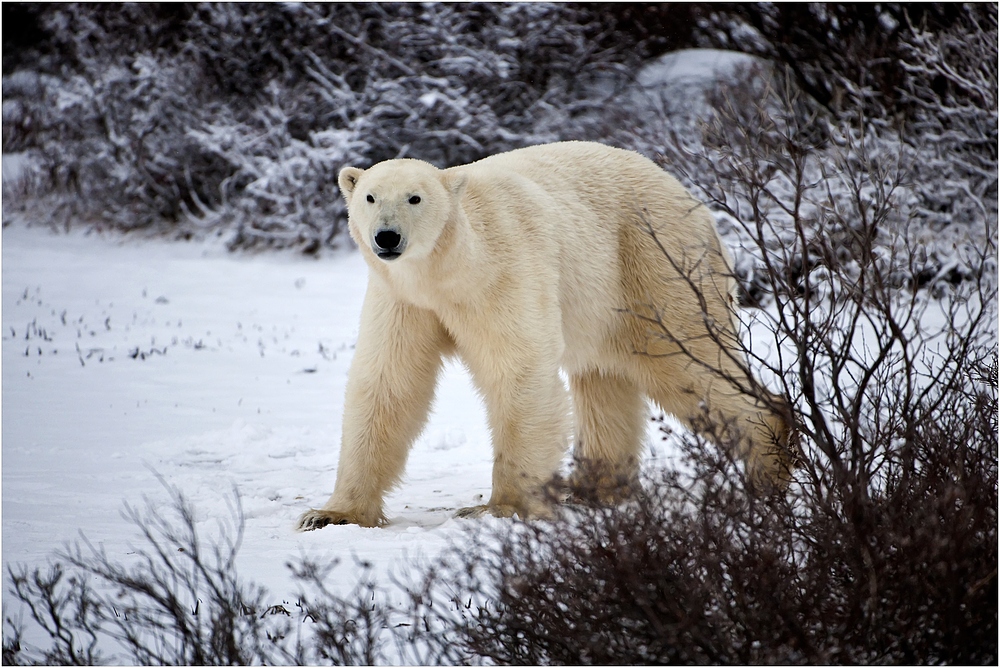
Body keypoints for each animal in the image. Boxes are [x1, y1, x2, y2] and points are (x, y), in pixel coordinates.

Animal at [294, 142, 788, 532]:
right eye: (370, 196)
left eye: (415, 198)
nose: (387, 237)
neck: (447, 273)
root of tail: (697, 204)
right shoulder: (405, 301)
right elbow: (388, 384)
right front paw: (330, 514)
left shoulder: (505, 273)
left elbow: (519, 371)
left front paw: (500, 508)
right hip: (606, 297)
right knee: (604, 380)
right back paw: (593, 489)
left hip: (653, 262)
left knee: (685, 359)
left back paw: (769, 460)